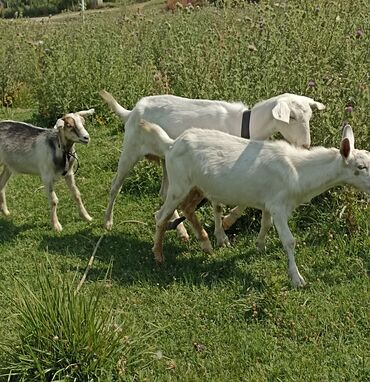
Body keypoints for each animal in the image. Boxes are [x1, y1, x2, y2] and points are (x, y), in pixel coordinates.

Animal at [100, 90, 324, 240]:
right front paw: (221, 234)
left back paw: (179, 230)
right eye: (291, 117)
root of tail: (132, 111)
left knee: (164, 192)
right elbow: (217, 205)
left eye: (309, 116)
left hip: (166, 160)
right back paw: (108, 221)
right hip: (131, 149)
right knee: (115, 185)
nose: (305, 145)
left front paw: (227, 222)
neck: (245, 125)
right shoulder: (217, 167)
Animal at [139, 121, 370, 286]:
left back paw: (206, 245)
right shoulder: (278, 204)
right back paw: (159, 256)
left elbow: (265, 224)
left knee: (185, 208)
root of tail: (172, 144)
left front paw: (260, 246)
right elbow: (289, 241)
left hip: (196, 186)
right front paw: (297, 279)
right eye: (360, 166)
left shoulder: (269, 202)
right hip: (179, 184)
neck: (299, 171)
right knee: (160, 215)